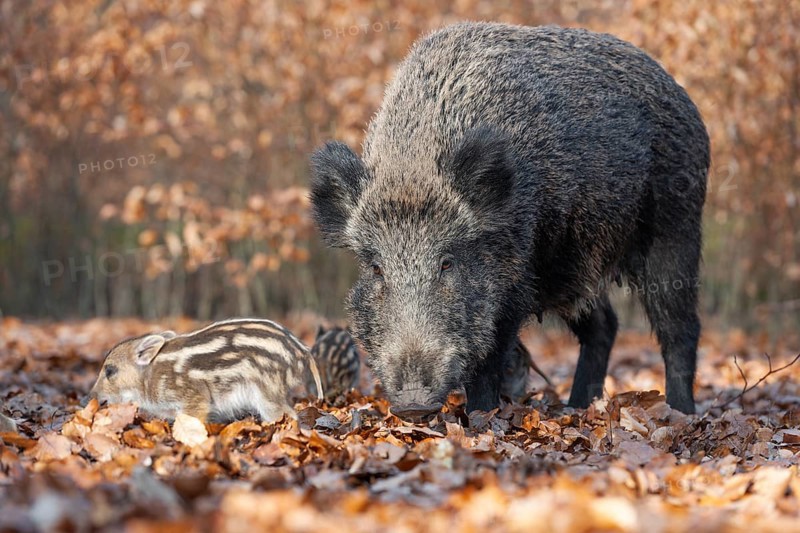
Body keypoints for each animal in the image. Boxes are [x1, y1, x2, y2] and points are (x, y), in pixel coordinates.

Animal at [88, 318, 323, 422]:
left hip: (267, 393)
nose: (89, 397)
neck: (148, 379)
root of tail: (302, 351)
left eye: (110, 370)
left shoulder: (194, 400)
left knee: (287, 414)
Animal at [310, 22, 709, 414]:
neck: (413, 170)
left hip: (677, 226)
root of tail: (680, 93)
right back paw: (575, 409)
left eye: (447, 262)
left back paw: (680, 411)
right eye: (376, 268)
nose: (413, 404)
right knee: (604, 326)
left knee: (679, 327)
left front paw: (480, 417)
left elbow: (488, 357)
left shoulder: (513, 278)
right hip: (572, 264)